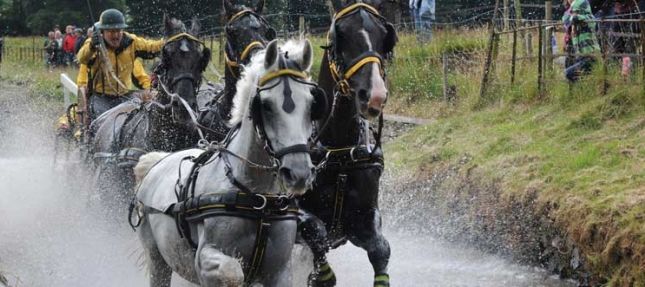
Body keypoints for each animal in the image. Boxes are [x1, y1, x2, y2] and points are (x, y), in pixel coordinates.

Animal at [135, 38, 328, 287]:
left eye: (312, 104)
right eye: (265, 105)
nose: (298, 173)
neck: (259, 198)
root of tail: (157, 162)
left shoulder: (280, 272)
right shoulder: (205, 259)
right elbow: (232, 272)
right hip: (157, 258)